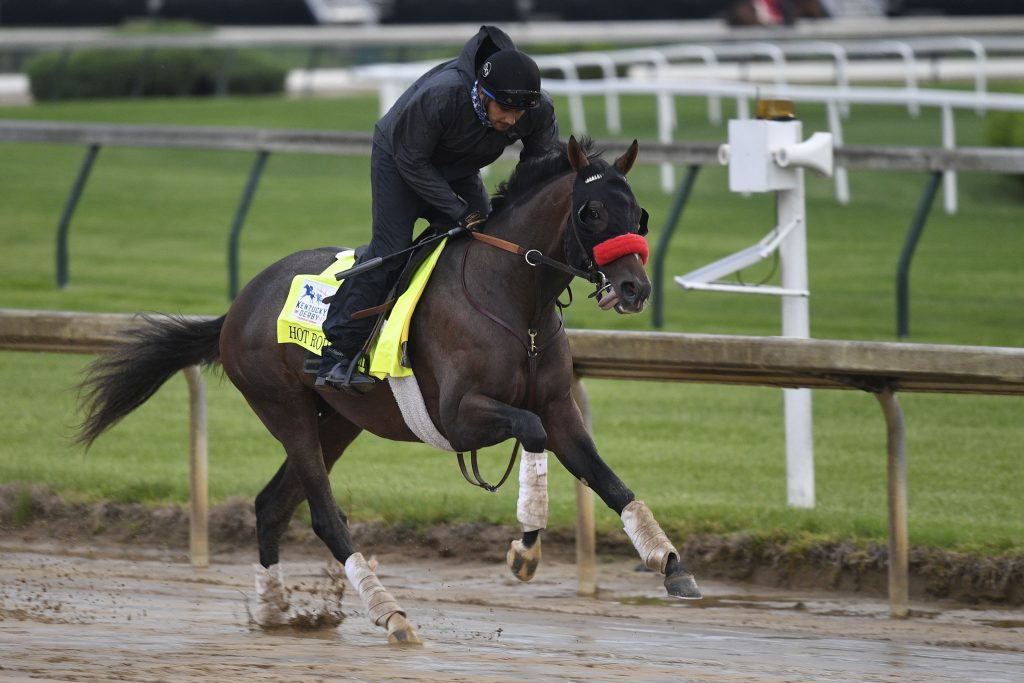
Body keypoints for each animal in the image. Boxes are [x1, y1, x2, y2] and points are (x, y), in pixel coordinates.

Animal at [77, 135, 704, 647]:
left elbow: (608, 480)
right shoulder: (458, 416)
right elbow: (530, 433)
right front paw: (525, 549)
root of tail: (238, 304)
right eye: (591, 211)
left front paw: (669, 562)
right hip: (284, 408)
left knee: (272, 504)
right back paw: (391, 614)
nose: (634, 288)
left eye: (640, 214)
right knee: (323, 516)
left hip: (339, 420)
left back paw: (276, 610)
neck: (513, 301)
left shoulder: (559, 406)